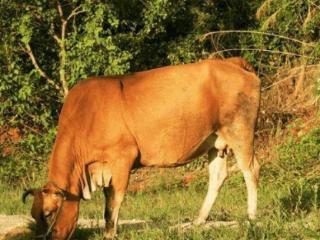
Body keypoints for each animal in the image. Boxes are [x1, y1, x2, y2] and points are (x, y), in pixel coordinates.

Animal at [24, 57, 260, 239]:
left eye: (49, 213)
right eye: (34, 215)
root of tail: (231, 62)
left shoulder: (122, 158)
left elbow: (114, 202)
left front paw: (110, 234)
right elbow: (108, 201)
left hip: (240, 131)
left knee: (251, 169)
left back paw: (251, 218)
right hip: (215, 140)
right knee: (218, 176)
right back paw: (198, 221)